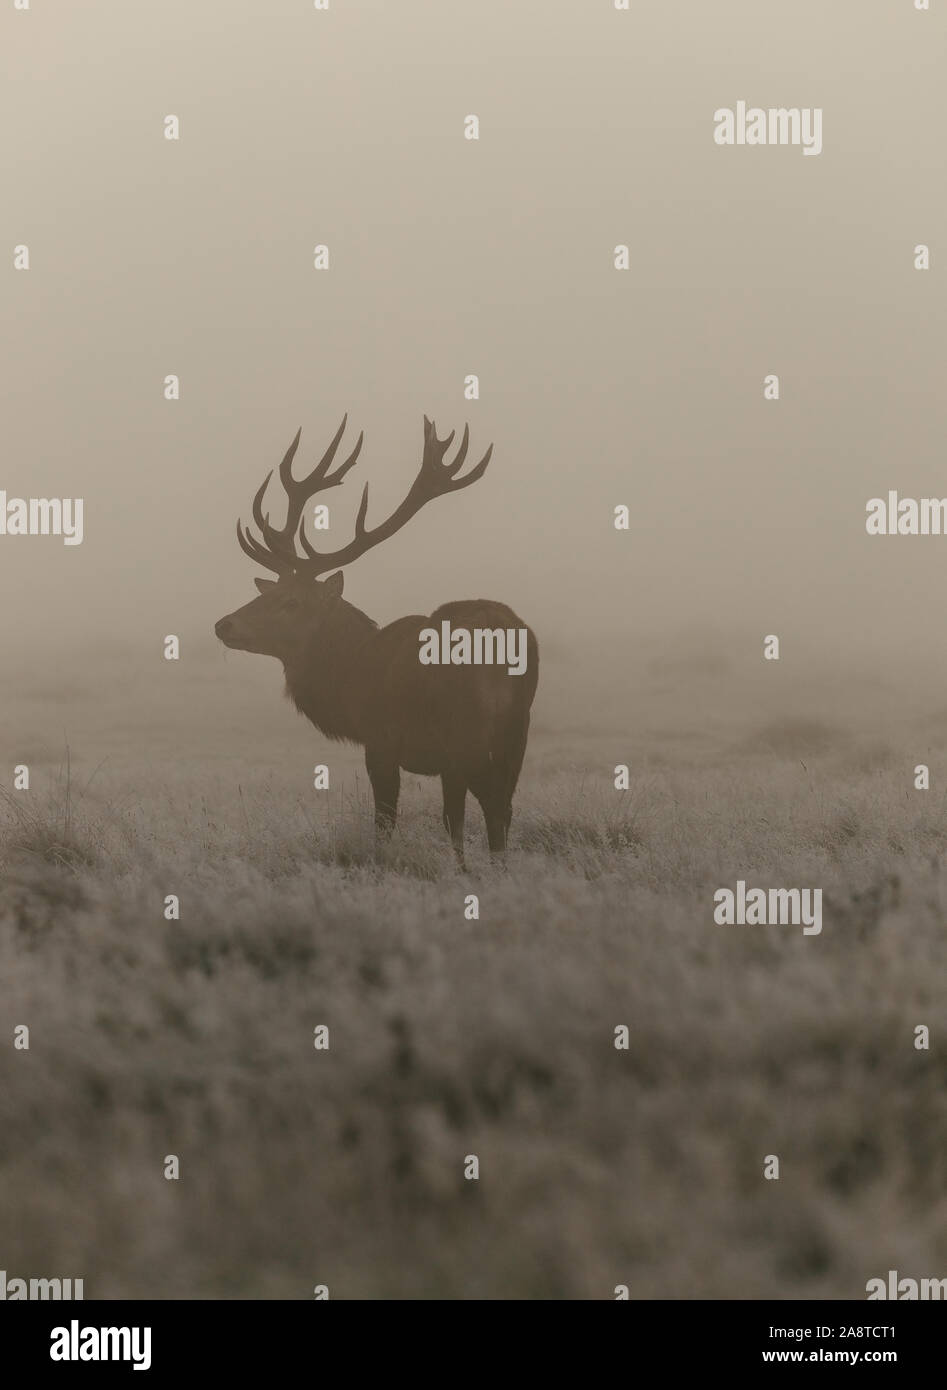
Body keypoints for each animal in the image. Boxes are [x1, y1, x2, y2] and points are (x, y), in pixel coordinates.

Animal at [214, 415, 539, 865]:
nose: (224, 625)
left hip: (465, 730)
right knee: (503, 807)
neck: (352, 677)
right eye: (269, 591)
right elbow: (451, 818)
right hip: (516, 729)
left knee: (486, 806)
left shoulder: (382, 740)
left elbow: (386, 820)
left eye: (292, 602)